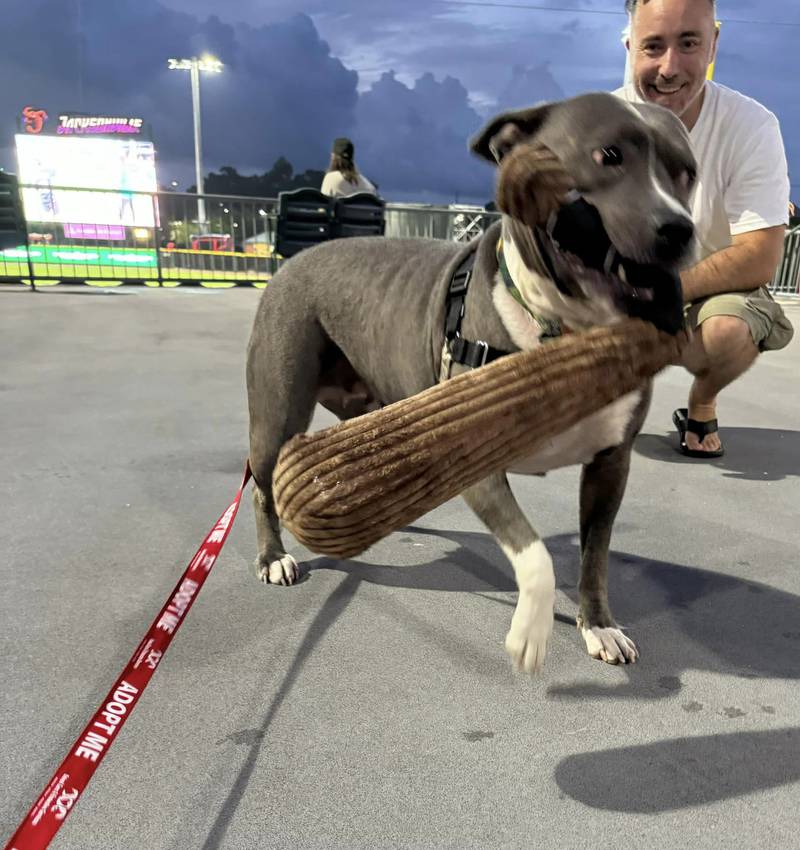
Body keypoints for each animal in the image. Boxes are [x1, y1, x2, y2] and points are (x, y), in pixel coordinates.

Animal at [247, 93, 696, 672]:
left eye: (688, 173)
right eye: (609, 155)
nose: (680, 229)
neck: (567, 335)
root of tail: (293, 260)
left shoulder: (610, 464)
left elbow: (595, 556)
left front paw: (598, 626)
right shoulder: (479, 464)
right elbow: (536, 554)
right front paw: (530, 632)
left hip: (373, 411)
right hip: (277, 414)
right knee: (263, 489)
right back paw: (273, 558)